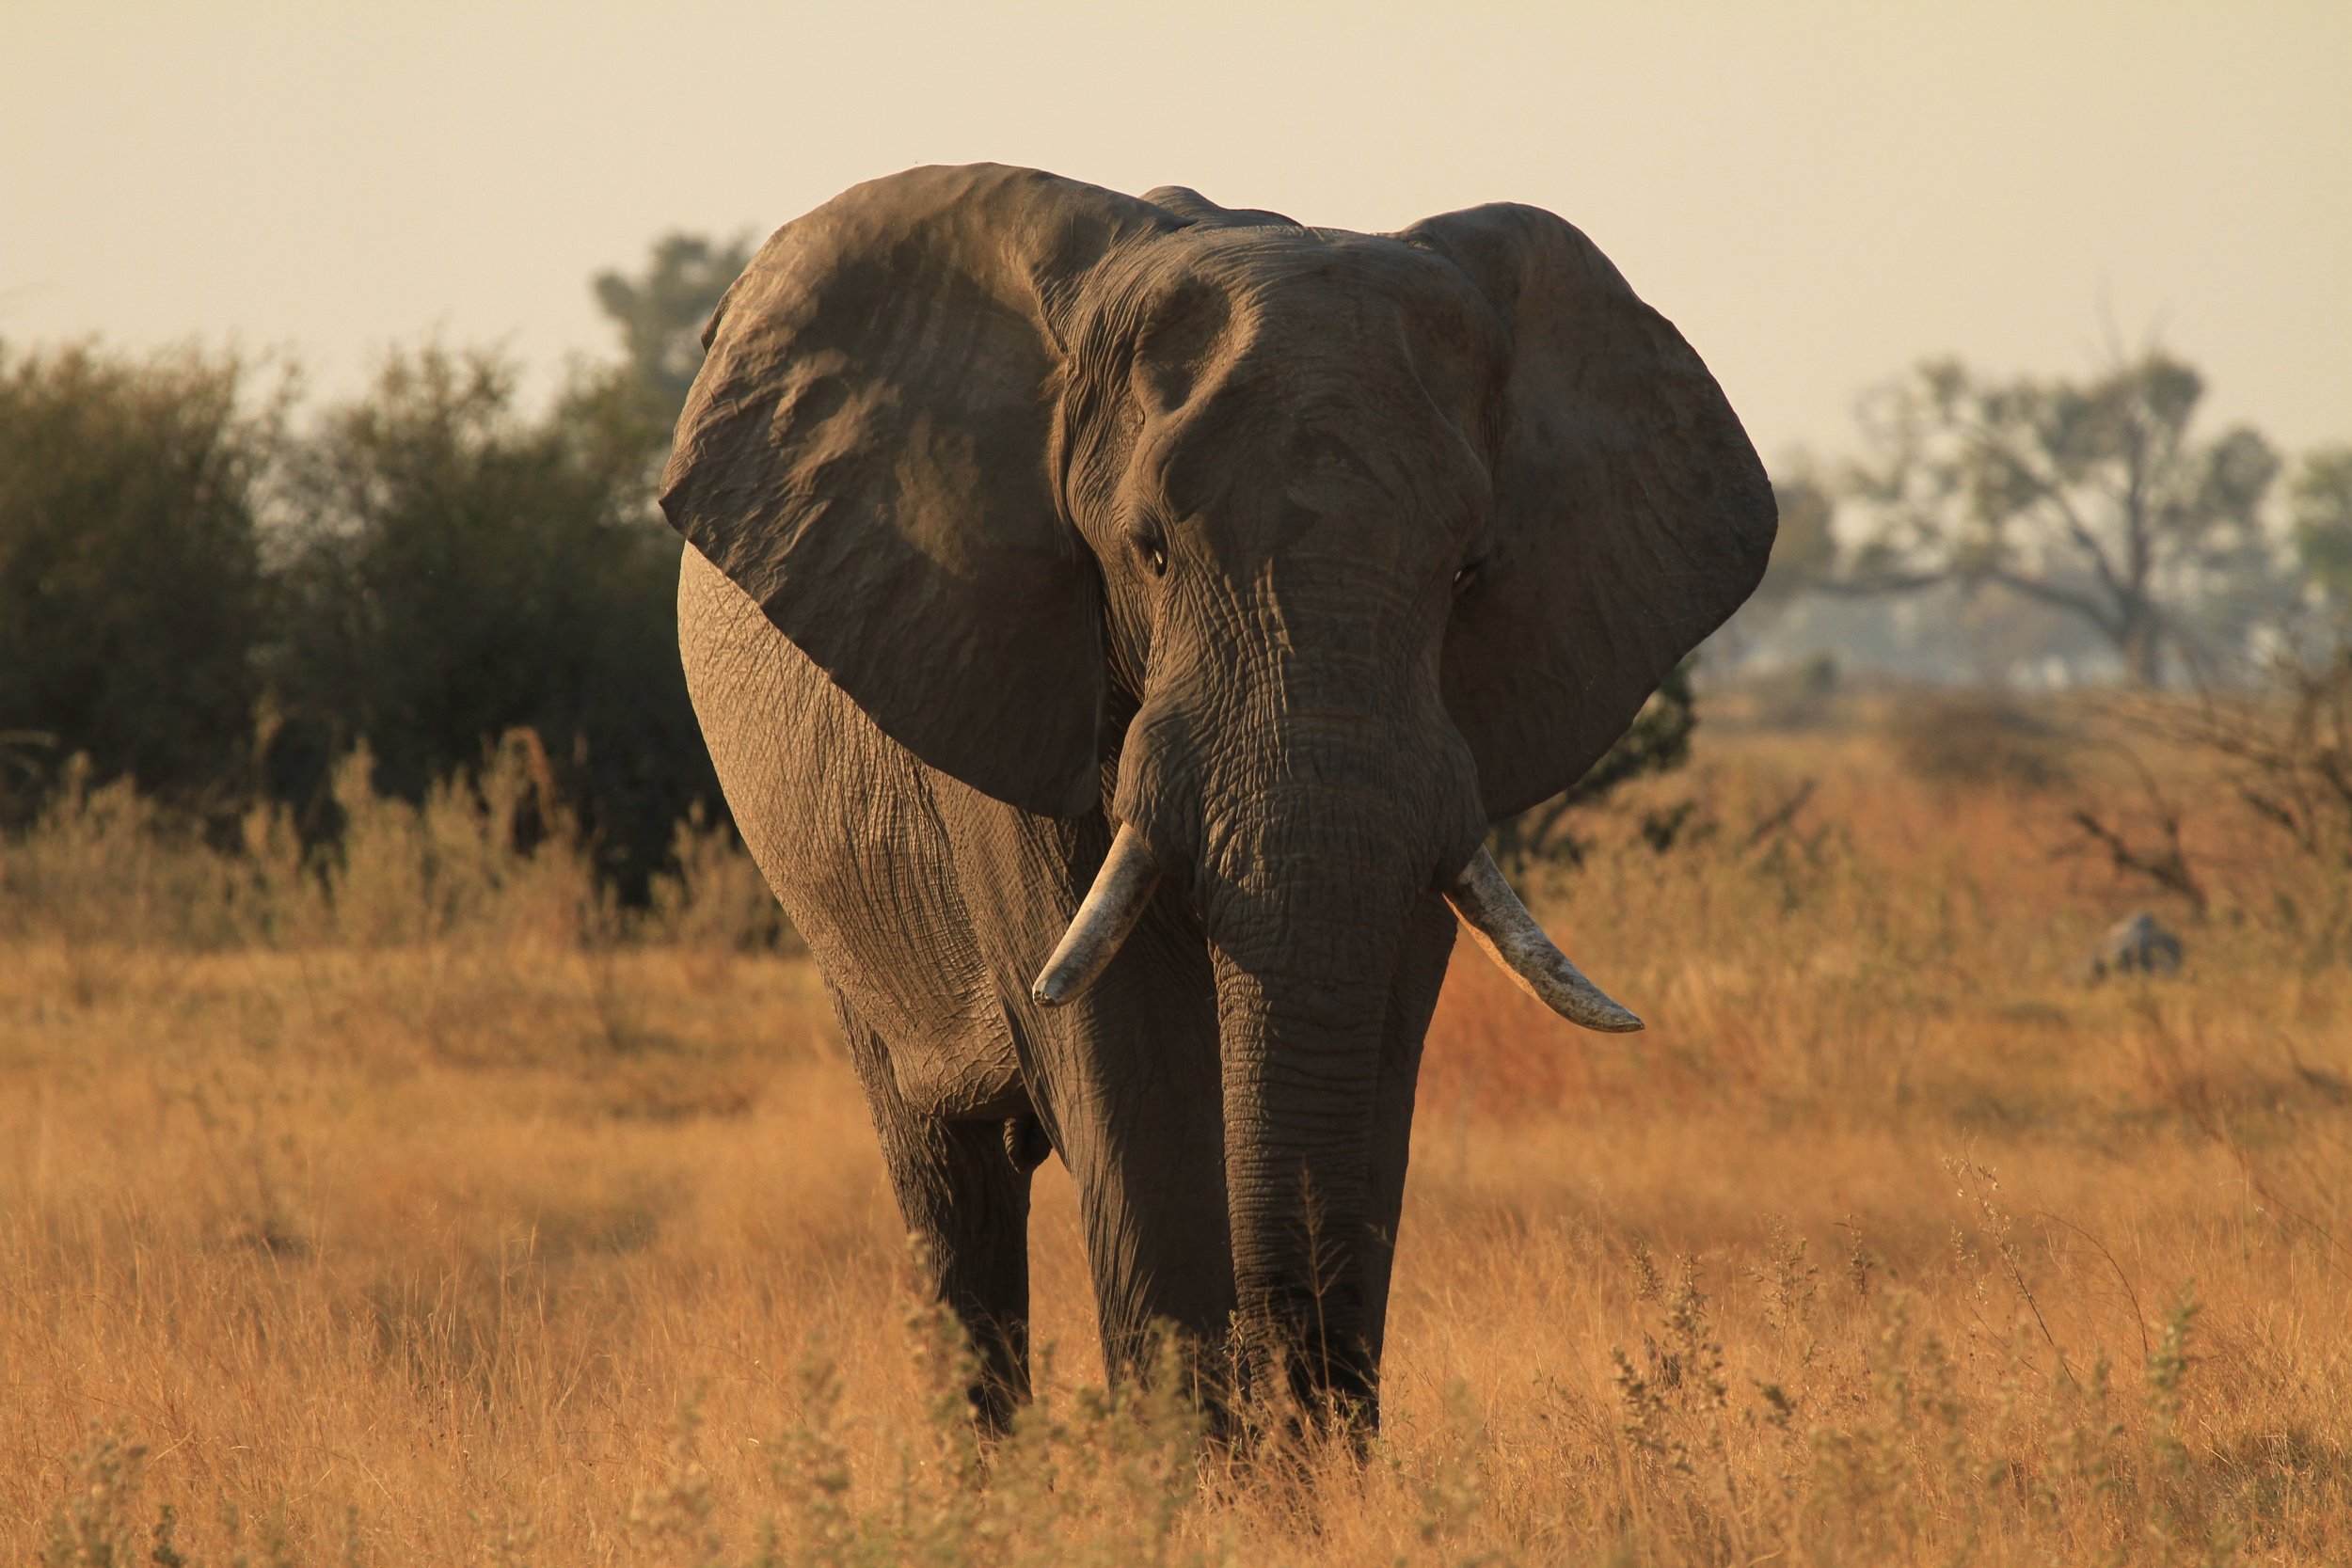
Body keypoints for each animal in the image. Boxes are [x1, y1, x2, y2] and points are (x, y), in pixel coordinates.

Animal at [659, 162, 1769, 1438]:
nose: (1295, 1378)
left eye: (1464, 573)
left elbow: (1379, 1029)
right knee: (947, 1179)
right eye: (1146, 552)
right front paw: (1192, 1462)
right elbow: (1123, 1058)